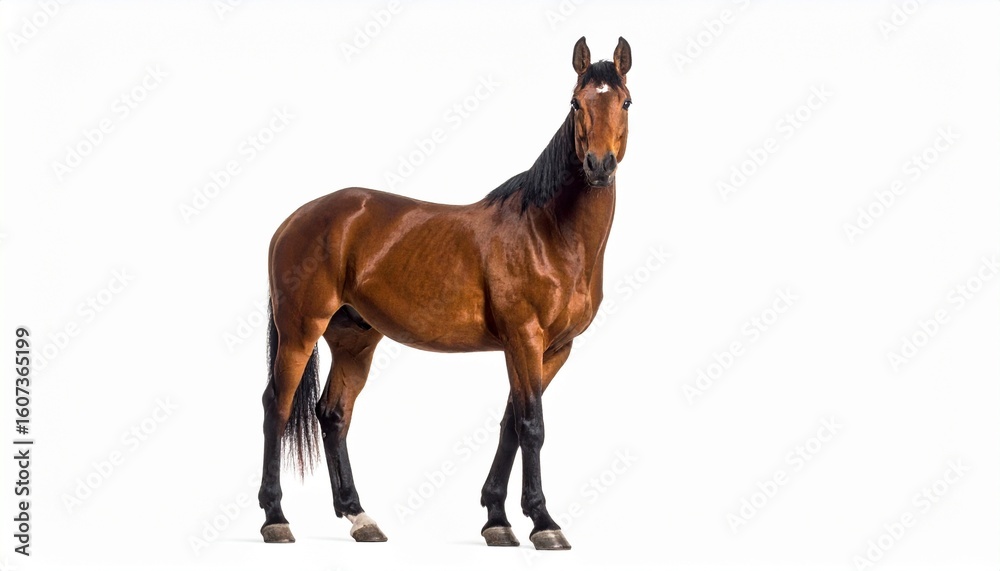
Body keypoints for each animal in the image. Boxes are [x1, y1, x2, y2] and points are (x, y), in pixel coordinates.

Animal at [257, 36, 632, 551]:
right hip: (299, 330)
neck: (547, 231)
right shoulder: (524, 339)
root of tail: (293, 220)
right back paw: (276, 517)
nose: (599, 166)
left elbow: (511, 423)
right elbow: (531, 426)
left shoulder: (554, 349)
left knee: (332, 414)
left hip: (354, 338)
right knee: (277, 406)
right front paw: (543, 522)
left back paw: (359, 517)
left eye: (626, 102)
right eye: (575, 103)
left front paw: (497, 519)